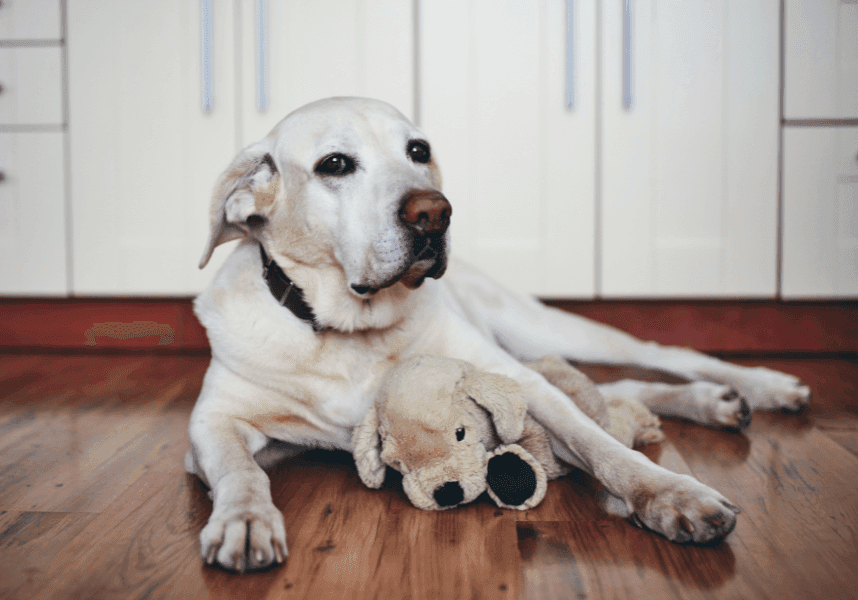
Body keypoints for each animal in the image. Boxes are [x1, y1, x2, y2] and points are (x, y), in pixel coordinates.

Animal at [187, 97, 808, 572]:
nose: (434, 212)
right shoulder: (212, 423)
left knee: (657, 355)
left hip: (538, 331)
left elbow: (601, 446)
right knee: (620, 389)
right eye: (335, 163)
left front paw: (671, 494)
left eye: (418, 151)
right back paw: (716, 403)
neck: (351, 329)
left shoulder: (519, 384)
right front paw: (245, 521)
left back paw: (757, 387)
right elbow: (240, 470)